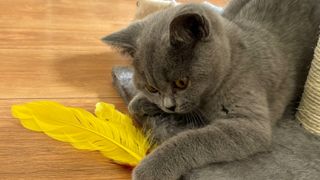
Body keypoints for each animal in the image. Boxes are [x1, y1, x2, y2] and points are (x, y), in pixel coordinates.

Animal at [103, 0, 320, 179]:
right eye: (151, 88)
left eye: (181, 83)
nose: (169, 106)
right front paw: (140, 102)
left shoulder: (249, 123)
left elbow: (194, 139)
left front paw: (151, 168)